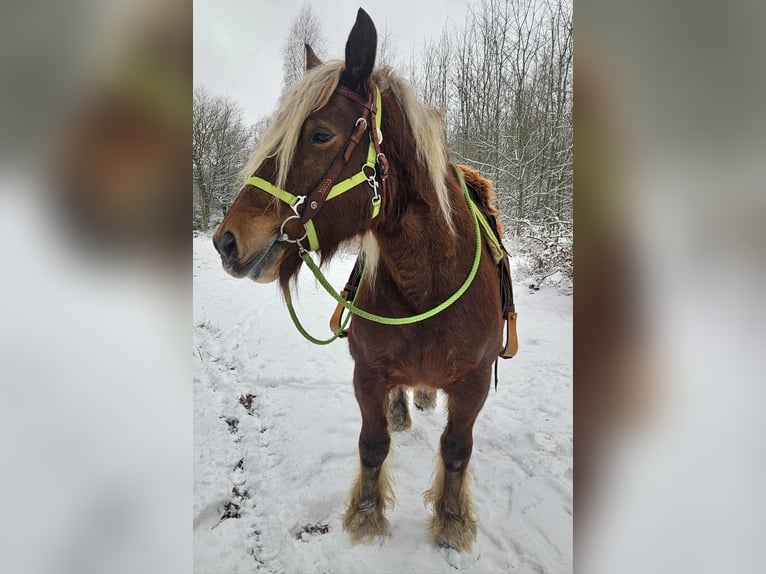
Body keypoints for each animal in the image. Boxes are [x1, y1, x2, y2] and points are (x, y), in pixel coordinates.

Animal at [213, 8, 506, 552]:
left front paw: (452, 520)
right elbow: (372, 444)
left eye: (320, 135)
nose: (226, 241)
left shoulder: (474, 381)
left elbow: (456, 448)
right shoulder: (368, 373)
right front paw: (366, 514)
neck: (426, 284)